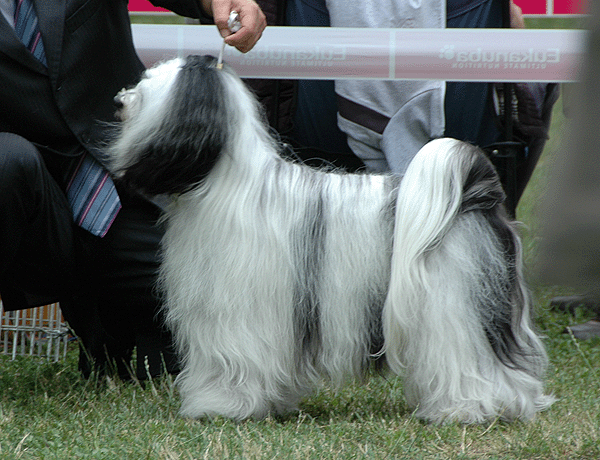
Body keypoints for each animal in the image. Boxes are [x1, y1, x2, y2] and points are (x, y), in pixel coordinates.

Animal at [108, 54, 552, 424]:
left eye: (146, 88)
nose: (118, 100)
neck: (230, 183)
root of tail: (475, 192)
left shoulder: (234, 316)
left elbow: (231, 365)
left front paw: (219, 407)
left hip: (454, 305)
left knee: (468, 359)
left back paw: (468, 409)